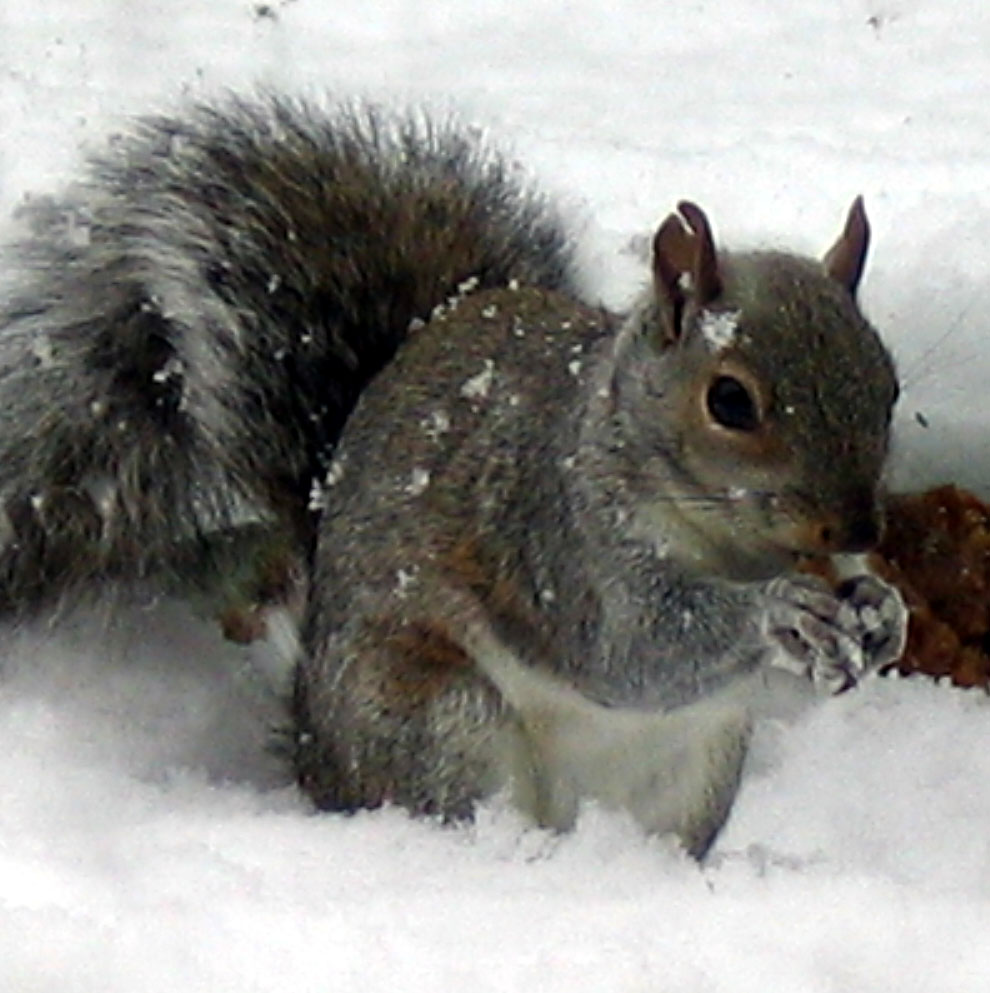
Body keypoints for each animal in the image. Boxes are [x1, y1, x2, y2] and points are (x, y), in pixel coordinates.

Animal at [0, 93, 908, 852]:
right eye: (729, 399)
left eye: (888, 383)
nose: (860, 527)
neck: (722, 539)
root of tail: (315, 752)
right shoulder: (556, 532)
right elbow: (631, 646)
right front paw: (783, 611)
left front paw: (881, 610)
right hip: (438, 717)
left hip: (701, 767)